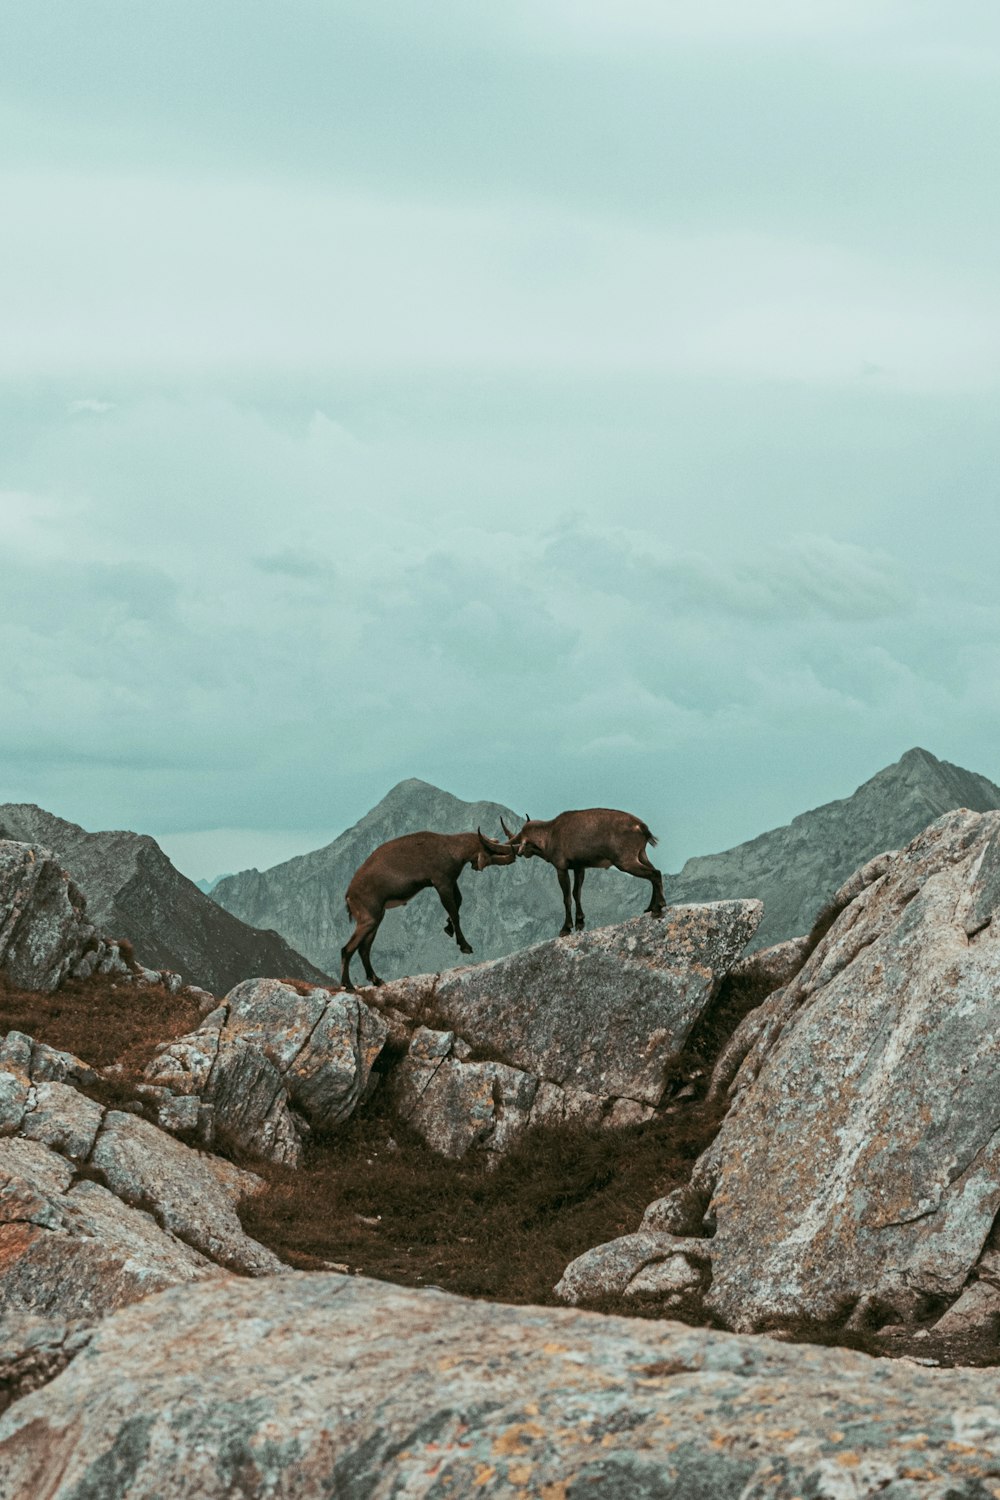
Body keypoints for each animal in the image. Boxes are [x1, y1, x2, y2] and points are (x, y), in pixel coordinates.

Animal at [344, 828, 515, 990]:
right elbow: (454, 911)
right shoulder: (441, 882)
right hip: (369, 917)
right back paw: (348, 984)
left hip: (377, 916)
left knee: (363, 949)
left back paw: (376, 980)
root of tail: (349, 894)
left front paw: (448, 928)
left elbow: (458, 902)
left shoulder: (450, 881)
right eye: (490, 851)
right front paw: (465, 946)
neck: (450, 848)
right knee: (347, 949)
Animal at [503, 810, 668, 936]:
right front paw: (580, 922)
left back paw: (658, 908)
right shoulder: (579, 867)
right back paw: (650, 908)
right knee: (655, 872)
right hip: (641, 855)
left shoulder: (561, 867)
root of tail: (641, 827)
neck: (550, 833)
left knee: (654, 873)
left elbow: (567, 897)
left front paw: (566, 928)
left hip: (625, 860)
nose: (521, 854)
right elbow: (577, 893)